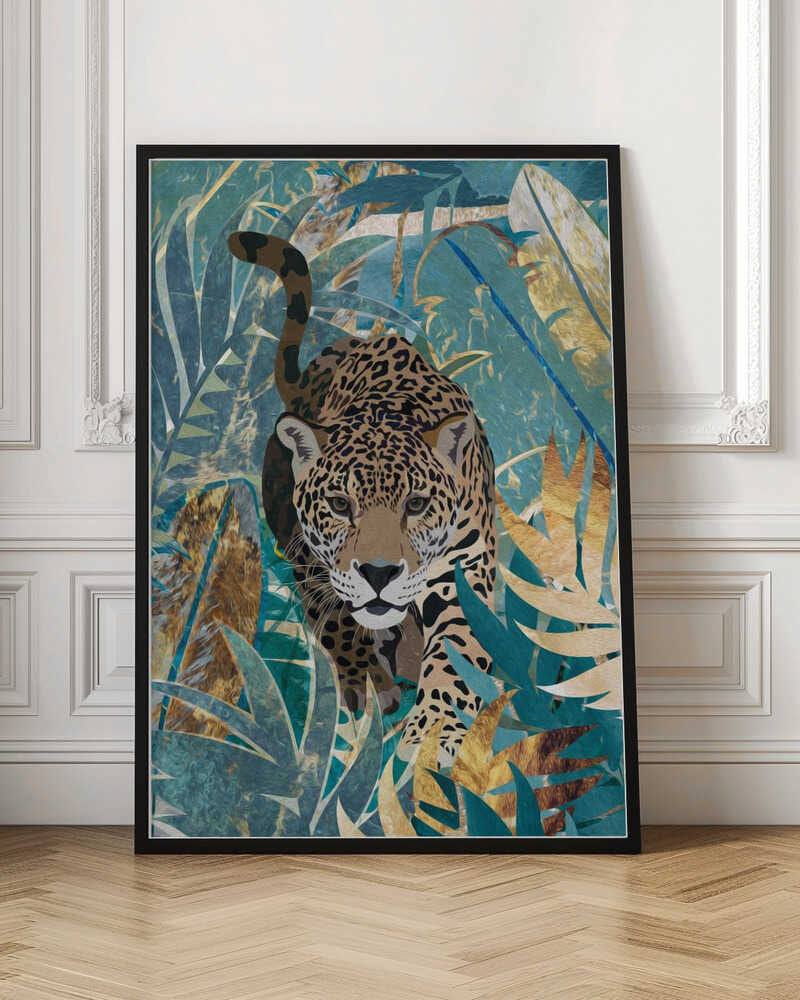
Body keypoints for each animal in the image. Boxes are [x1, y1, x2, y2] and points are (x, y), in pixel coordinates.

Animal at [228, 230, 497, 762]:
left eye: (416, 505)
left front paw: (432, 733)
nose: (378, 573)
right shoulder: (311, 555)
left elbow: (456, 656)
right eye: (339, 505)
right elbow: (334, 616)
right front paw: (367, 681)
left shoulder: (463, 571)